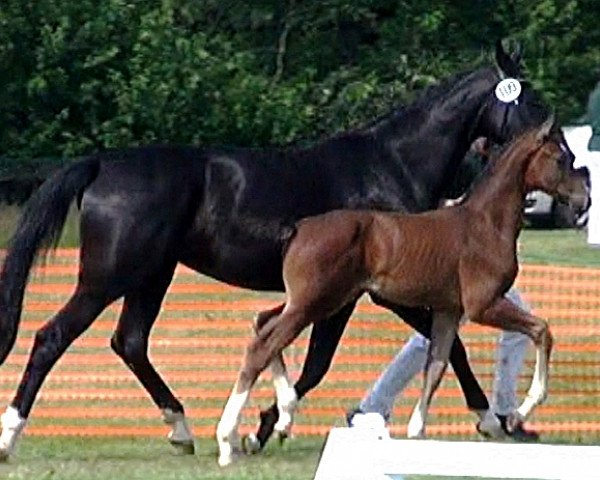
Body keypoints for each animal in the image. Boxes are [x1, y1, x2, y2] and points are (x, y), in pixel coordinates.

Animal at [0, 41, 552, 458]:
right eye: (529, 101)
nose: (558, 141)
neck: (390, 164)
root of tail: (102, 164)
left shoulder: (354, 294)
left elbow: (313, 359)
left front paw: (264, 425)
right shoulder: (378, 292)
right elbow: (350, 358)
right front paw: (492, 418)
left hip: (152, 277)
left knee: (130, 342)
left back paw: (181, 429)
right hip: (107, 277)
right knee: (52, 337)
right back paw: (11, 434)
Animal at [217, 118, 592, 466]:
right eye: (561, 158)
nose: (584, 200)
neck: (485, 223)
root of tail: (298, 228)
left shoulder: (448, 311)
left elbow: (437, 366)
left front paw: (416, 431)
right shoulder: (483, 306)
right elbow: (541, 330)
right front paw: (517, 415)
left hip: (315, 302)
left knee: (263, 324)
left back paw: (281, 416)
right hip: (313, 304)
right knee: (262, 346)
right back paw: (227, 441)